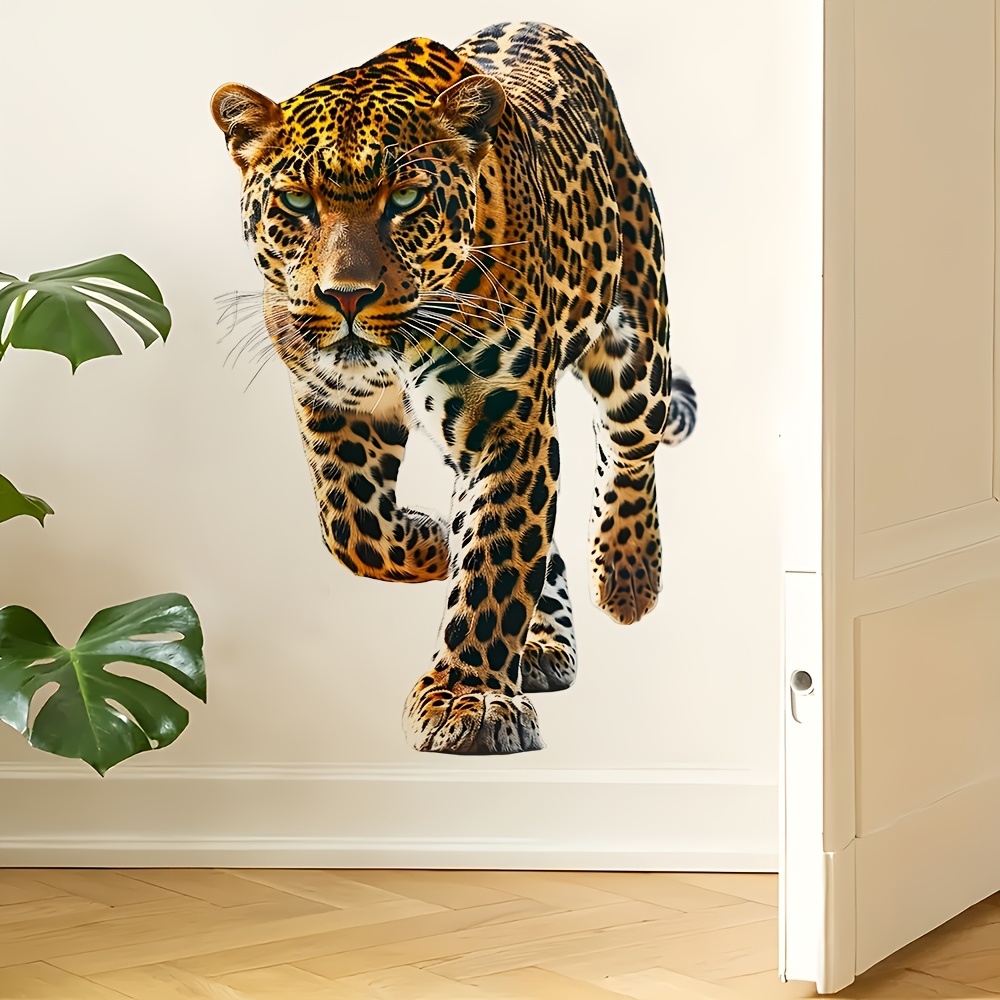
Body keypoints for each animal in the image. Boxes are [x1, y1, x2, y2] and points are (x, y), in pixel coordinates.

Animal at [211, 21, 697, 755]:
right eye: (296, 203)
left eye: (405, 199)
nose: (346, 296)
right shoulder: (334, 402)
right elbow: (353, 528)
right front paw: (434, 542)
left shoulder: (507, 423)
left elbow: (496, 559)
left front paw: (468, 701)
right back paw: (542, 643)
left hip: (636, 330)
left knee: (630, 446)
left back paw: (627, 574)